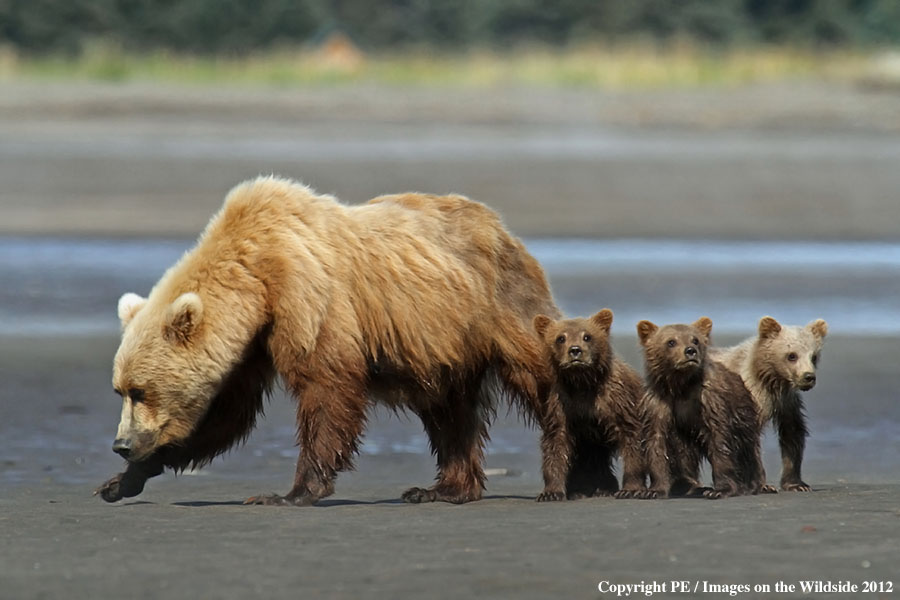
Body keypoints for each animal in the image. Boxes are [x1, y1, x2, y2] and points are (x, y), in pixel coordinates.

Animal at [95, 176, 568, 504]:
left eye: (140, 390)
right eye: (120, 390)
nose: (121, 445)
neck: (254, 284)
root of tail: (502, 226)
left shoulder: (307, 299)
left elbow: (326, 386)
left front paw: (289, 492)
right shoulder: (252, 345)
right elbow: (227, 414)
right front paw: (121, 481)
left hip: (501, 308)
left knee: (540, 381)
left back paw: (556, 476)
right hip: (441, 344)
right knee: (449, 411)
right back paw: (444, 488)